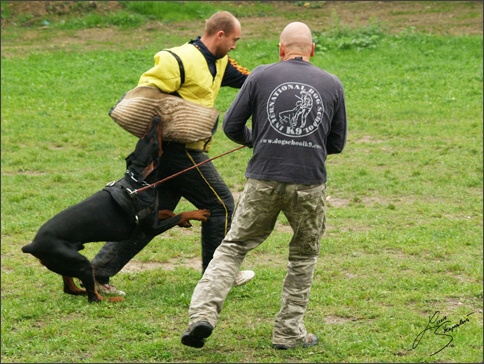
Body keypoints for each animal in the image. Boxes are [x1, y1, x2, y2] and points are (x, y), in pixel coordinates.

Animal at [21, 118, 210, 302]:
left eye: (145, 137)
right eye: (152, 141)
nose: (156, 118)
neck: (137, 182)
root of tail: (31, 245)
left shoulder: (149, 218)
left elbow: (166, 212)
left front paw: (185, 222)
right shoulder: (152, 228)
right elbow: (179, 214)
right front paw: (199, 214)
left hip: (66, 262)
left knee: (70, 288)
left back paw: (83, 291)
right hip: (80, 262)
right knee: (93, 298)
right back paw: (113, 299)